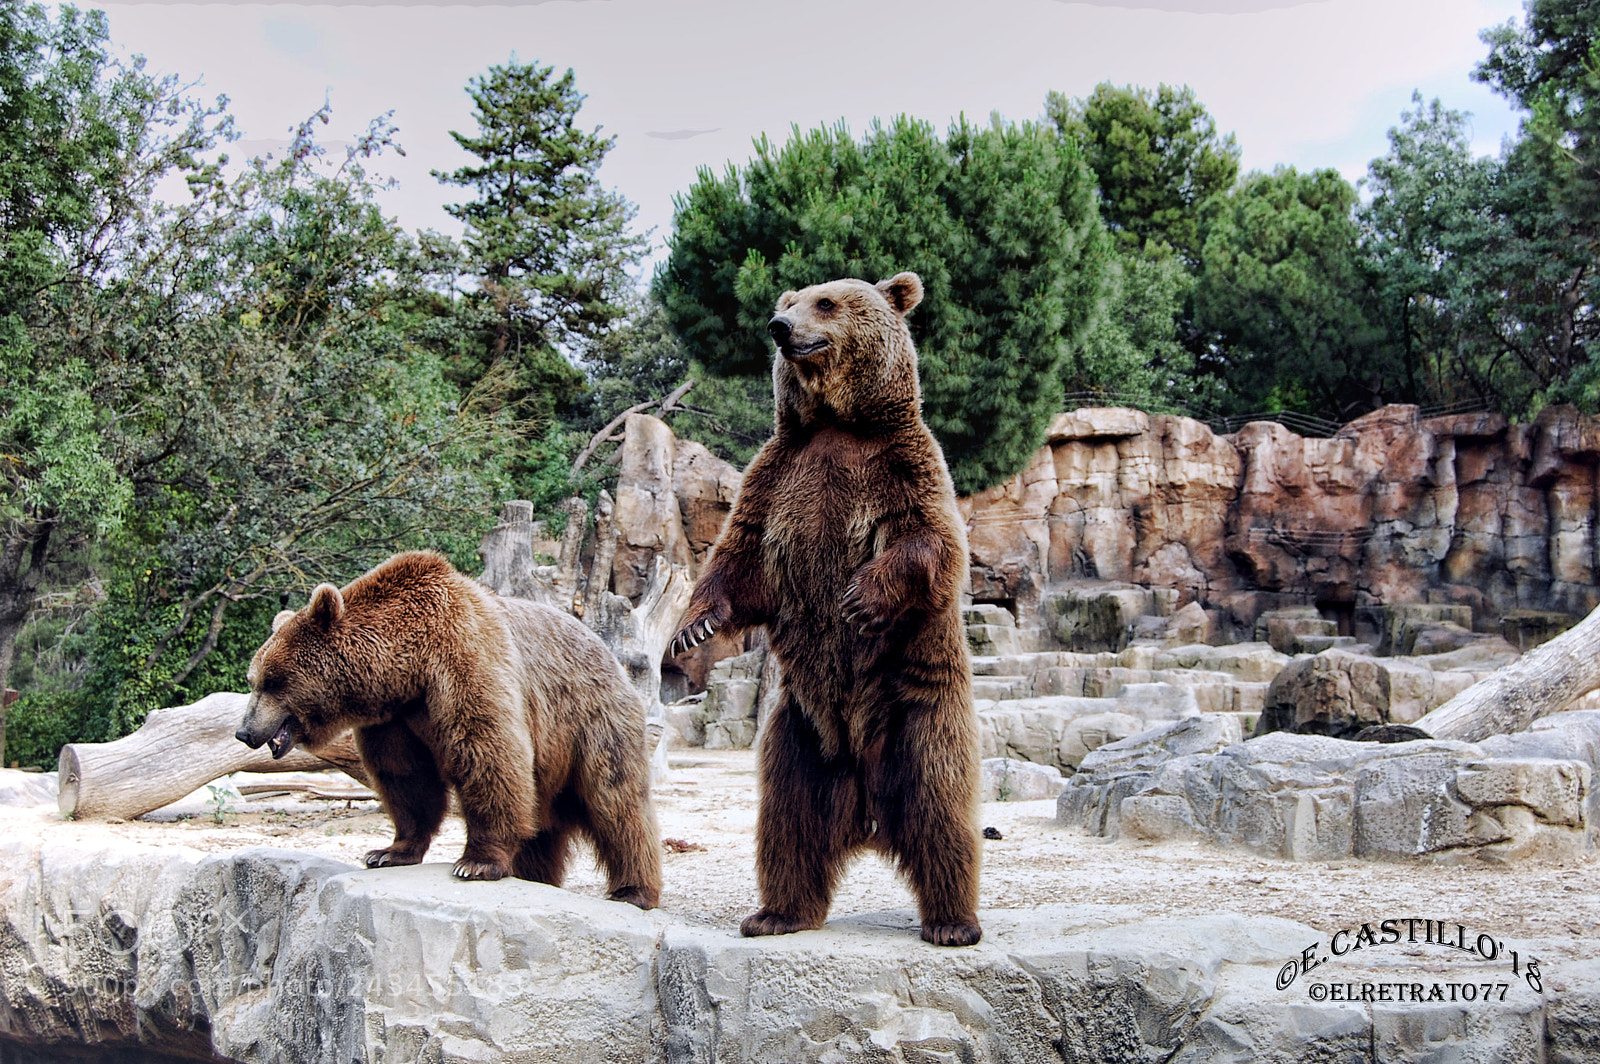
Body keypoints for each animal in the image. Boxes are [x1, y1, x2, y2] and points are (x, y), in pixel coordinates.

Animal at [235, 550, 662, 908]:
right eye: (254, 679)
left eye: (272, 681)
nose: (244, 732)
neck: (407, 666)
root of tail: (608, 652)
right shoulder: (394, 720)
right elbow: (406, 779)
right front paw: (388, 852)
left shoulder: (464, 664)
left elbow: (488, 754)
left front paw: (476, 862)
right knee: (544, 825)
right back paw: (535, 877)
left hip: (590, 721)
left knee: (616, 801)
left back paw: (633, 891)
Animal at [669, 272, 982, 946]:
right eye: (788, 302)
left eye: (827, 302)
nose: (780, 327)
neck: (839, 423)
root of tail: (866, 808)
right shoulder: (777, 474)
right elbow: (740, 560)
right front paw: (693, 629)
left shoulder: (904, 462)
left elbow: (931, 542)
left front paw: (860, 597)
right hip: (801, 732)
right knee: (790, 821)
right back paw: (775, 913)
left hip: (917, 709)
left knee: (941, 806)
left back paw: (953, 922)